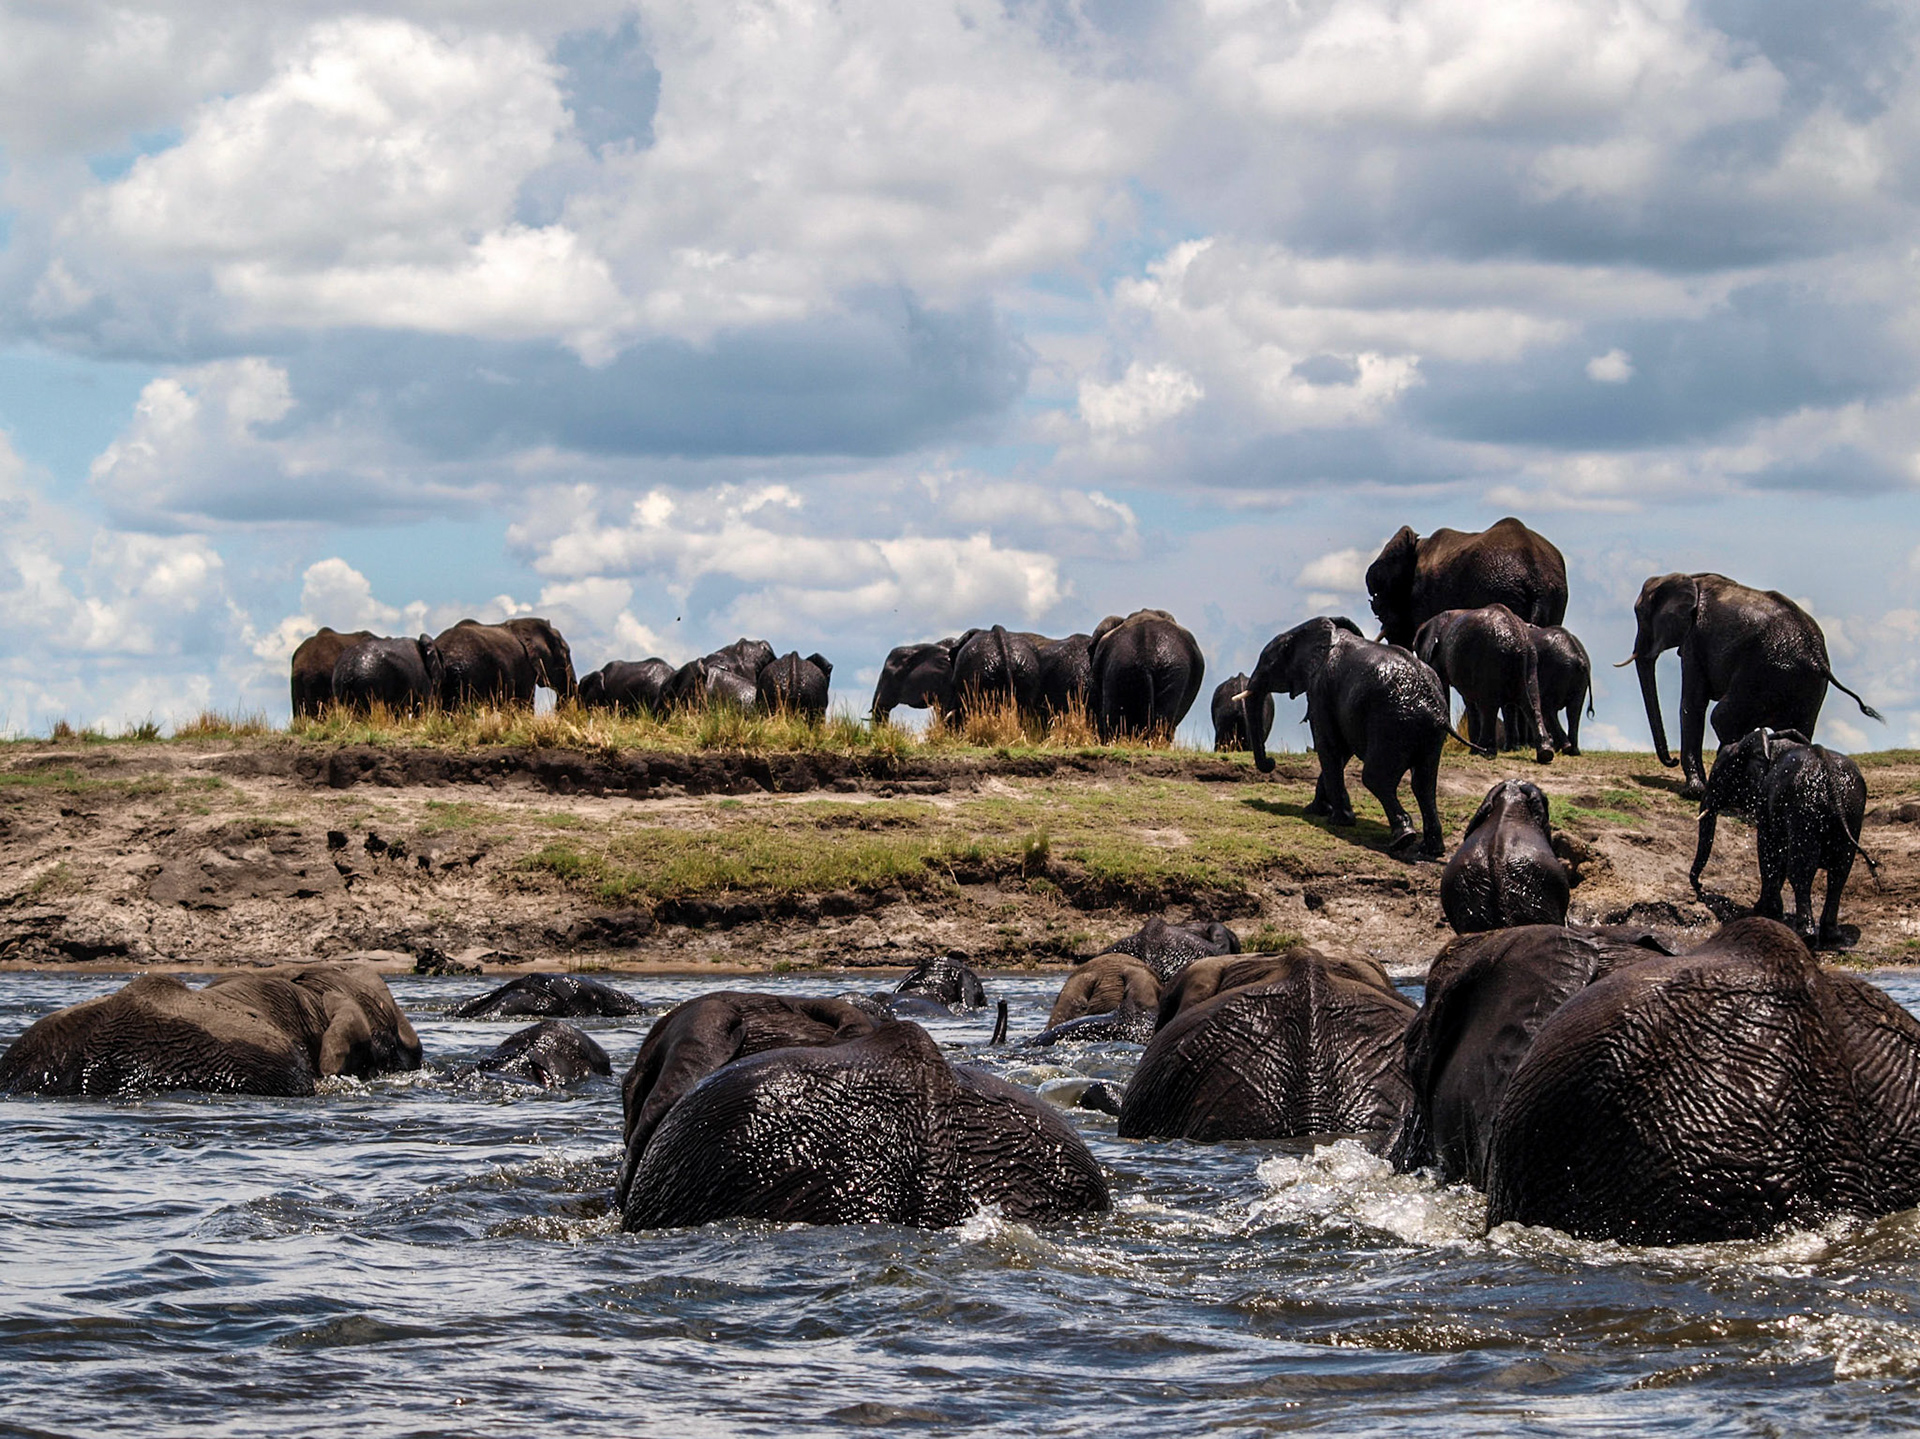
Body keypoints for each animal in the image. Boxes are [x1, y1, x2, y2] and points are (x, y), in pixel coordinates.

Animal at [1242, 616, 1452, 857]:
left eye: (1267, 662)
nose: (1271, 762)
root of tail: (1433, 709)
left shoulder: (1321, 688)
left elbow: (1328, 745)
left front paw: (1339, 820)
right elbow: (1341, 751)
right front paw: (1316, 810)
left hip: (1393, 723)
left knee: (1375, 778)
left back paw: (1403, 840)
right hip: (1427, 733)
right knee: (1424, 784)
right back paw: (1431, 849)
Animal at [1412, 605, 1553, 763]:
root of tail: (1519, 641)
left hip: (1491, 659)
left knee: (1489, 706)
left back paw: (1486, 752)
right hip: (1530, 660)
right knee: (1533, 703)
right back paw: (1545, 754)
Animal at [1625, 572, 1882, 798]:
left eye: (1640, 613)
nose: (1672, 760)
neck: (1689, 578)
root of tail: (1817, 656)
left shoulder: (1695, 639)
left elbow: (1693, 703)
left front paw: (1692, 792)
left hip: (1761, 672)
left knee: (1722, 718)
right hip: (1807, 686)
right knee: (1795, 729)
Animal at [1690, 728, 1876, 949]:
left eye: (1718, 776)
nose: (1700, 887)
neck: (1770, 741)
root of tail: (1829, 771)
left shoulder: (1766, 799)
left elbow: (1768, 850)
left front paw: (1764, 910)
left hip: (1804, 808)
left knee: (1801, 871)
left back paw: (1807, 936)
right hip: (1851, 808)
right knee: (1839, 873)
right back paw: (1832, 936)